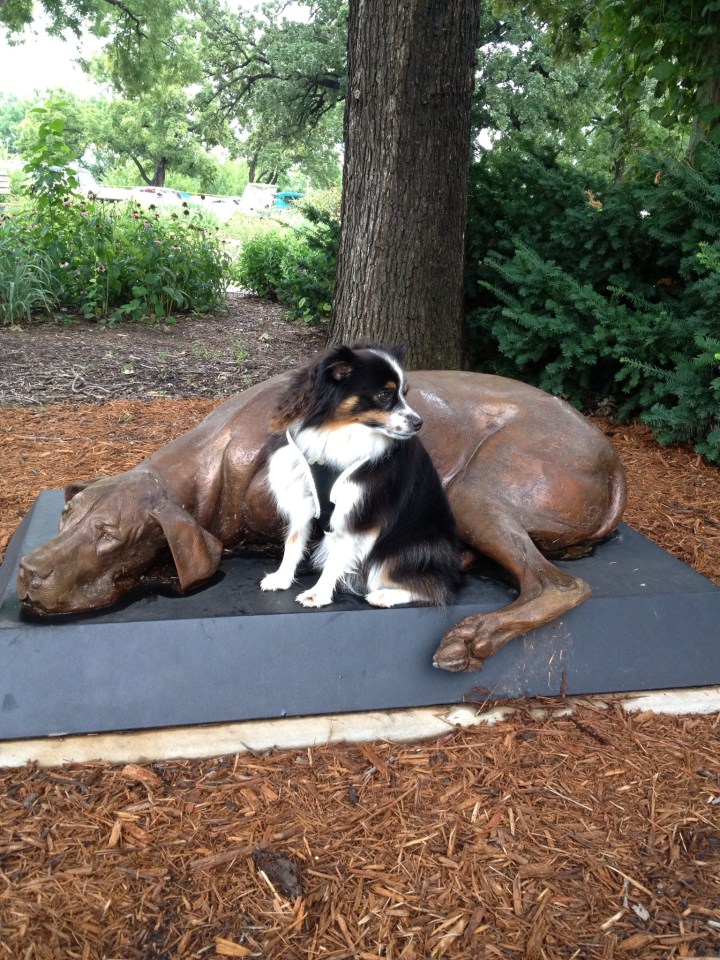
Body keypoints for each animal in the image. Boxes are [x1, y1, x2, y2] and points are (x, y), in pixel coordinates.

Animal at [260, 344, 462, 609]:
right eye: (385, 395)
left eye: (404, 393)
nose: (419, 423)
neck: (337, 430)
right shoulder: (302, 496)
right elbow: (293, 542)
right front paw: (282, 578)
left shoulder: (358, 511)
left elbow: (337, 556)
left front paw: (318, 593)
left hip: (402, 550)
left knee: (436, 587)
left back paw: (385, 595)